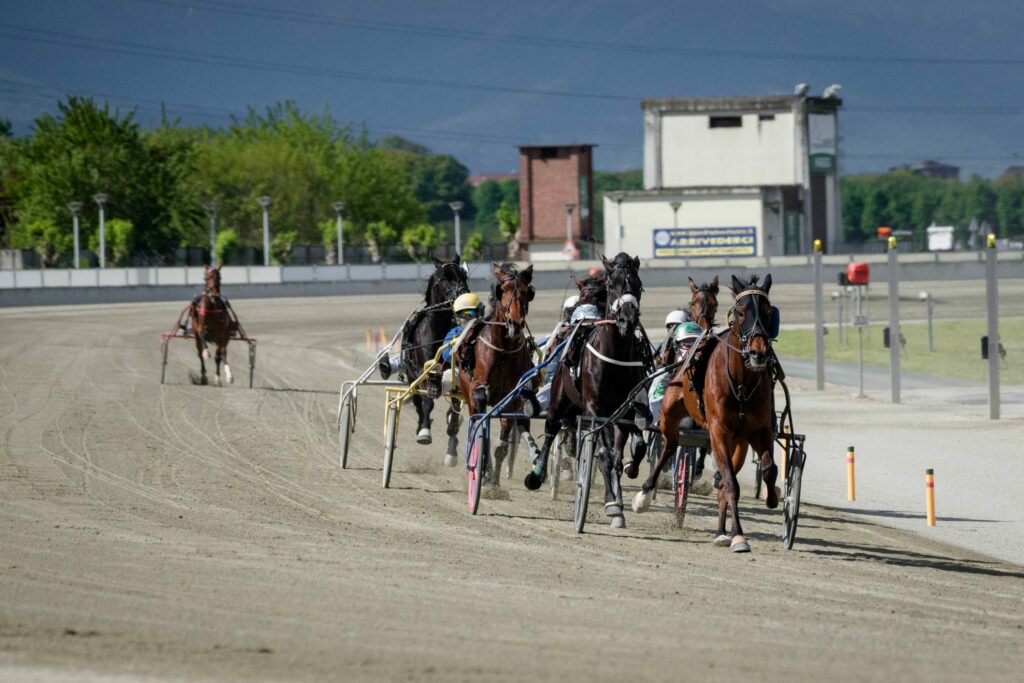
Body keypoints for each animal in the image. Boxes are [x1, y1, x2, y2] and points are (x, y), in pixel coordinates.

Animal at [397, 255, 468, 464]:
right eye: (444, 278)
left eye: (464, 275)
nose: (463, 295)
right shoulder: (423, 372)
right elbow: (427, 401)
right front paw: (424, 432)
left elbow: (455, 406)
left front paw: (452, 439)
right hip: (411, 376)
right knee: (419, 402)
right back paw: (421, 425)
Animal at [456, 264, 536, 489]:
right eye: (503, 290)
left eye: (527, 292)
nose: (515, 323)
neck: (504, 351)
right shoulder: (478, 390)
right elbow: (483, 431)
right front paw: (484, 474)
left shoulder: (512, 399)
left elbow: (502, 445)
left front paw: (494, 481)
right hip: (468, 394)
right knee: (477, 424)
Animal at [524, 254, 651, 528]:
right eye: (612, 285)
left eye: (638, 285)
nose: (627, 320)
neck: (614, 358)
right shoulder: (595, 410)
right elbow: (603, 455)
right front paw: (612, 504)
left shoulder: (625, 412)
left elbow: (629, 450)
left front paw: (625, 482)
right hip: (559, 400)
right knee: (551, 430)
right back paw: (536, 475)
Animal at [626, 274, 778, 552]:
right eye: (741, 311)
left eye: (768, 311)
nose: (758, 352)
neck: (741, 382)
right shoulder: (718, 431)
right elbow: (732, 484)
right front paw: (739, 536)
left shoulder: (760, 430)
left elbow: (768, 470)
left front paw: (771, 498)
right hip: (670, 412)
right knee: (669, 445)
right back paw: (644, 495)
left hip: (738, 443)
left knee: (720, 480)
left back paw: (720, 531)